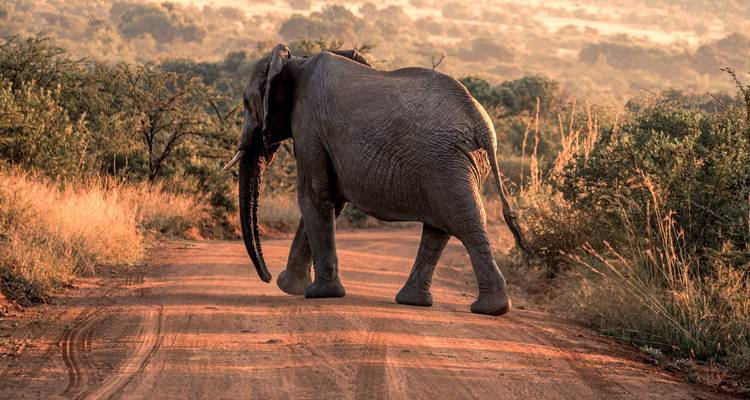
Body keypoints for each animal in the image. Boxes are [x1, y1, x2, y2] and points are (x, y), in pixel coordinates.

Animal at [223, 44, 532, 316]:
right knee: (440, 227)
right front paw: (290, 287)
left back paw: (489, 309)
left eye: (246, 103)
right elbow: (331, 199)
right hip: (453, 164)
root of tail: (483, 127)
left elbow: (314, 194)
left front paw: (316, 293)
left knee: (463, 220)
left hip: (445, 163)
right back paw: (417, 301)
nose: (266, 276)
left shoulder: (309, 124)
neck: (295, 60)